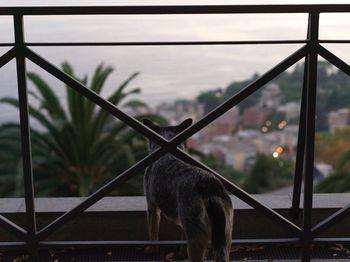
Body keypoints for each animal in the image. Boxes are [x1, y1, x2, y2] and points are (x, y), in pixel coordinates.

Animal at [144, 119, 234, 262]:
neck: (167, 153)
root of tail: (209, 188)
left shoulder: (152, 207)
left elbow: (152, 232)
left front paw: (151, 249)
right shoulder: (183, 221)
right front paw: (181, 253)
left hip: (196, 237)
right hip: (225, 235)